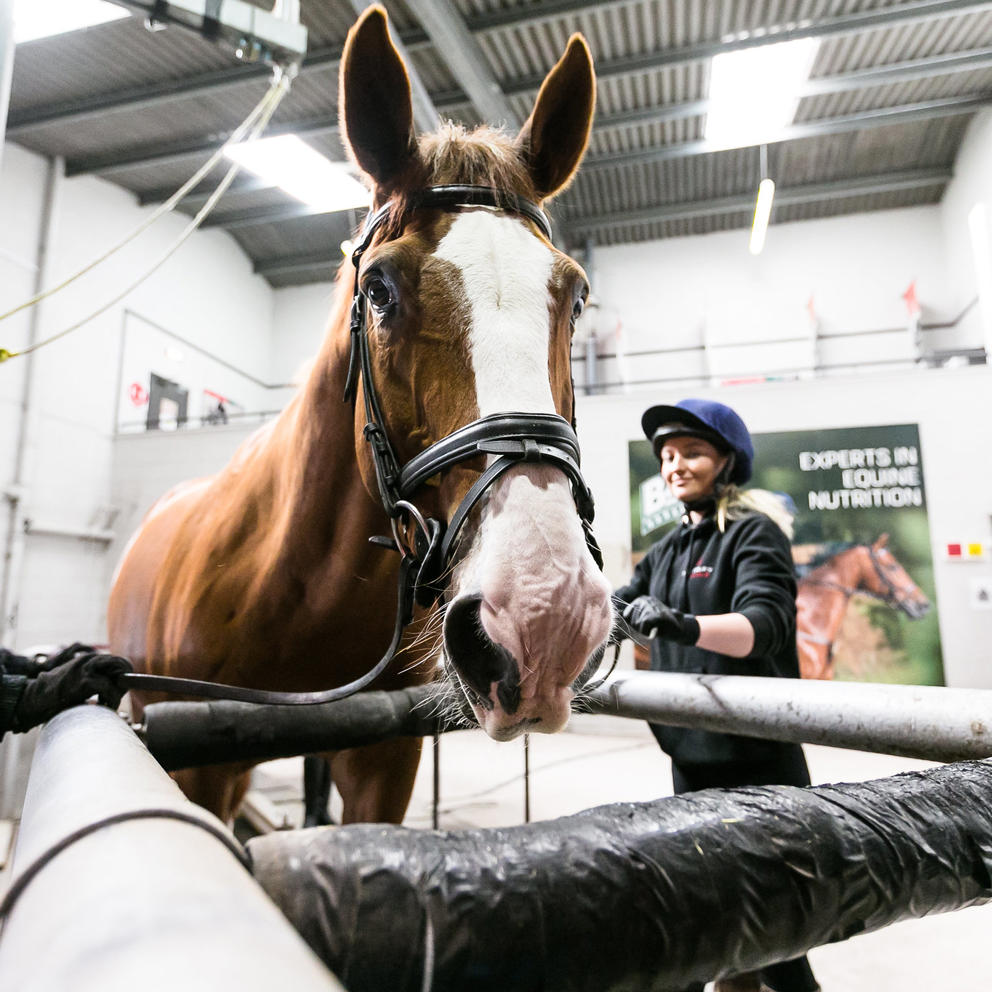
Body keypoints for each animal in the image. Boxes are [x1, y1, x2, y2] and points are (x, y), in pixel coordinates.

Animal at [104, 7, 612, 824]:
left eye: (576, 294)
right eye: (378, 289)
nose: (546, 613)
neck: (299, 586)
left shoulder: (383, 761)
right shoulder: (199, 769)